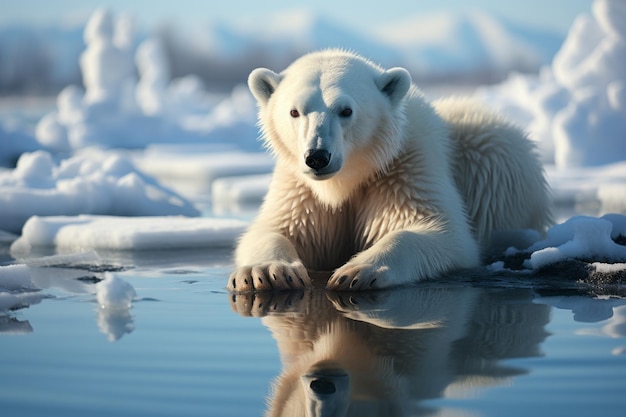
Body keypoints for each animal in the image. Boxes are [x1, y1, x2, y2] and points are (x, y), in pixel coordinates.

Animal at [228, 48, 544, 290]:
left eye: (346, 110)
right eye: (295, 111)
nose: (317, 157)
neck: (348, 178)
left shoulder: (403, 168)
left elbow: (438, 231)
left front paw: (356, 272)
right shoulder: (300, 188)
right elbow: (275, 229)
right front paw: (266, 273)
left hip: (492, 154)